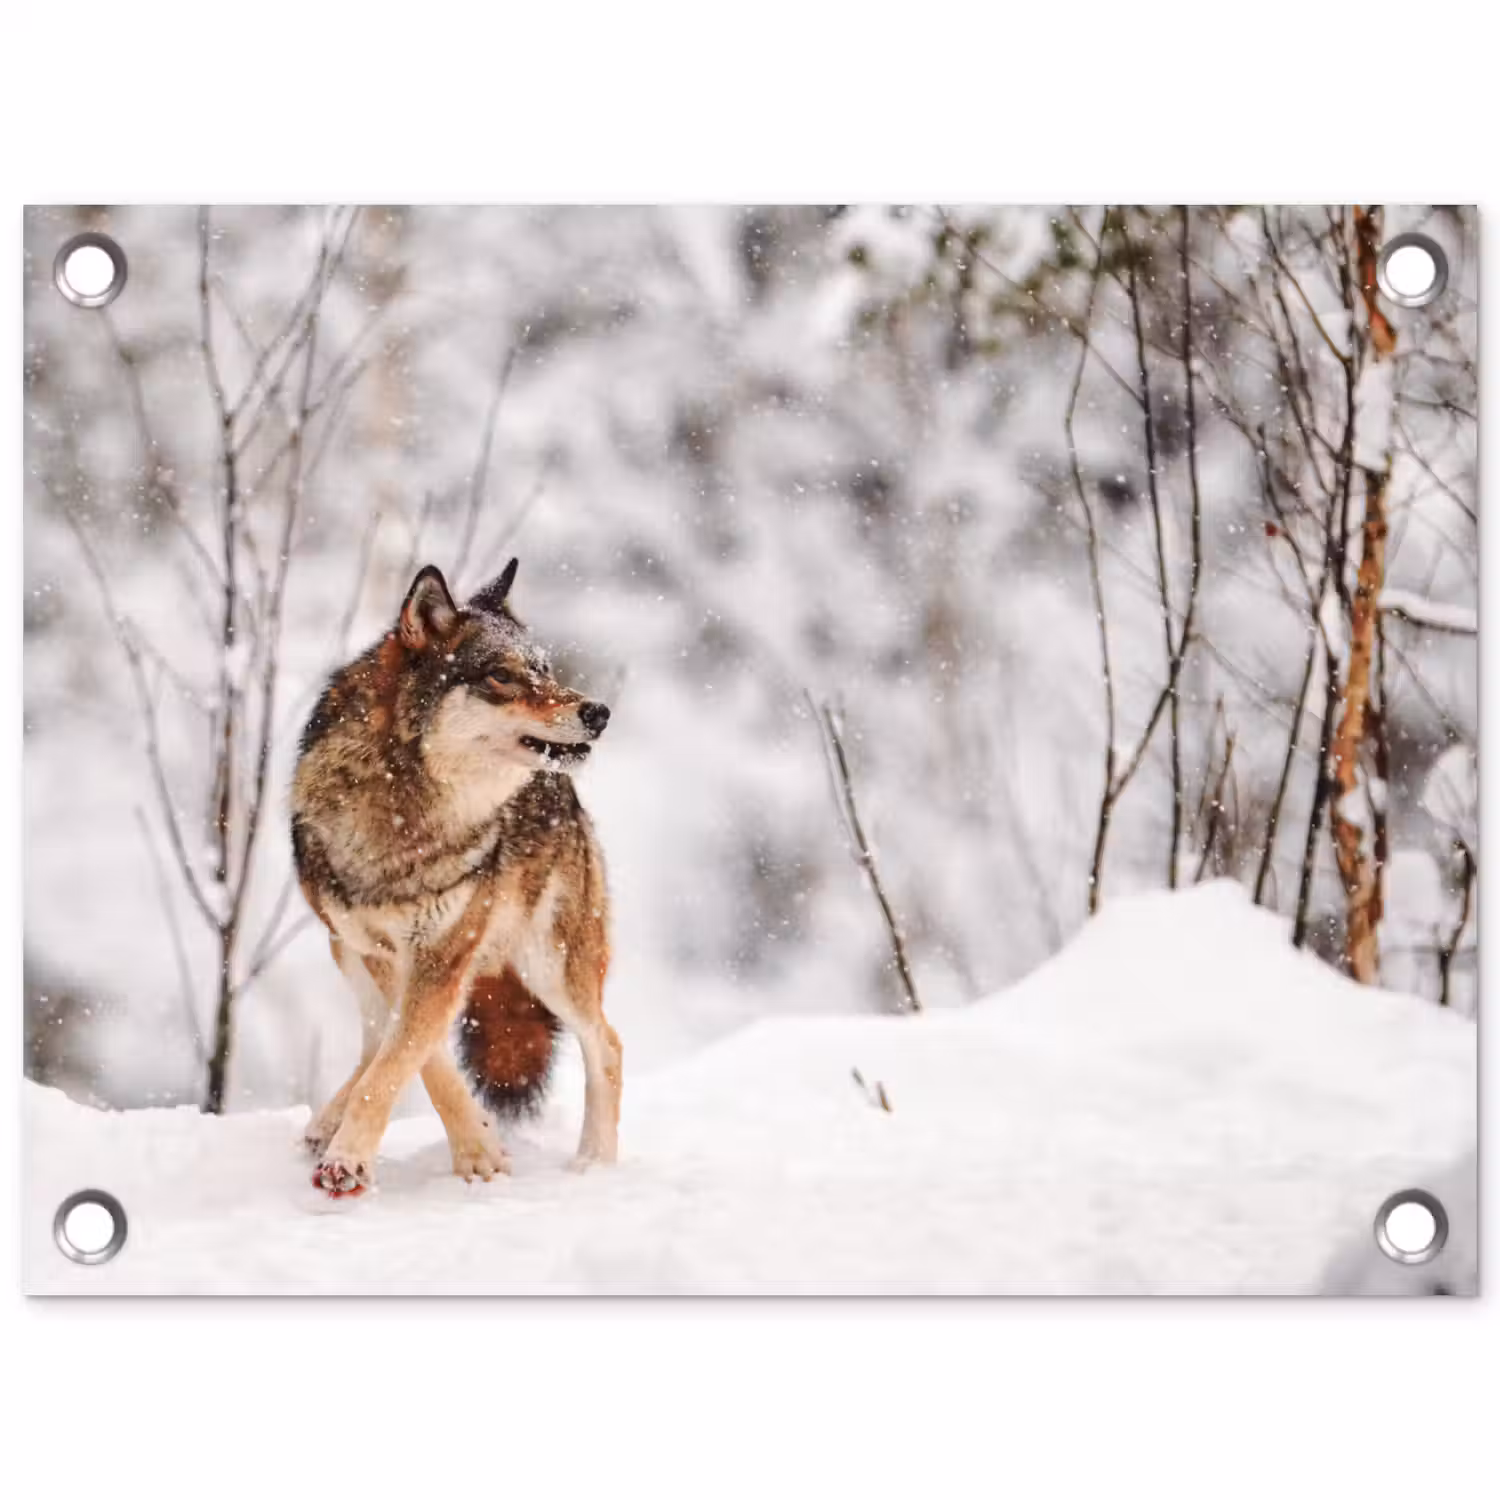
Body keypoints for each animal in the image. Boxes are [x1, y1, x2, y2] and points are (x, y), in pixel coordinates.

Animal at [290, 558, 620, 1196]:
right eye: (502, 677)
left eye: (545, 670)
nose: (597, 712)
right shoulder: (384, 952)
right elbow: (417, 1057)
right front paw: (477, 1147)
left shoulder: (443, 952)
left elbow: (403, 1057)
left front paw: (355, 1160)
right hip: (344, 948)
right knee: (373, 1037)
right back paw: (326, 1122)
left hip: (549, 965)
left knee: (607, 1045)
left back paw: (595, 1164)